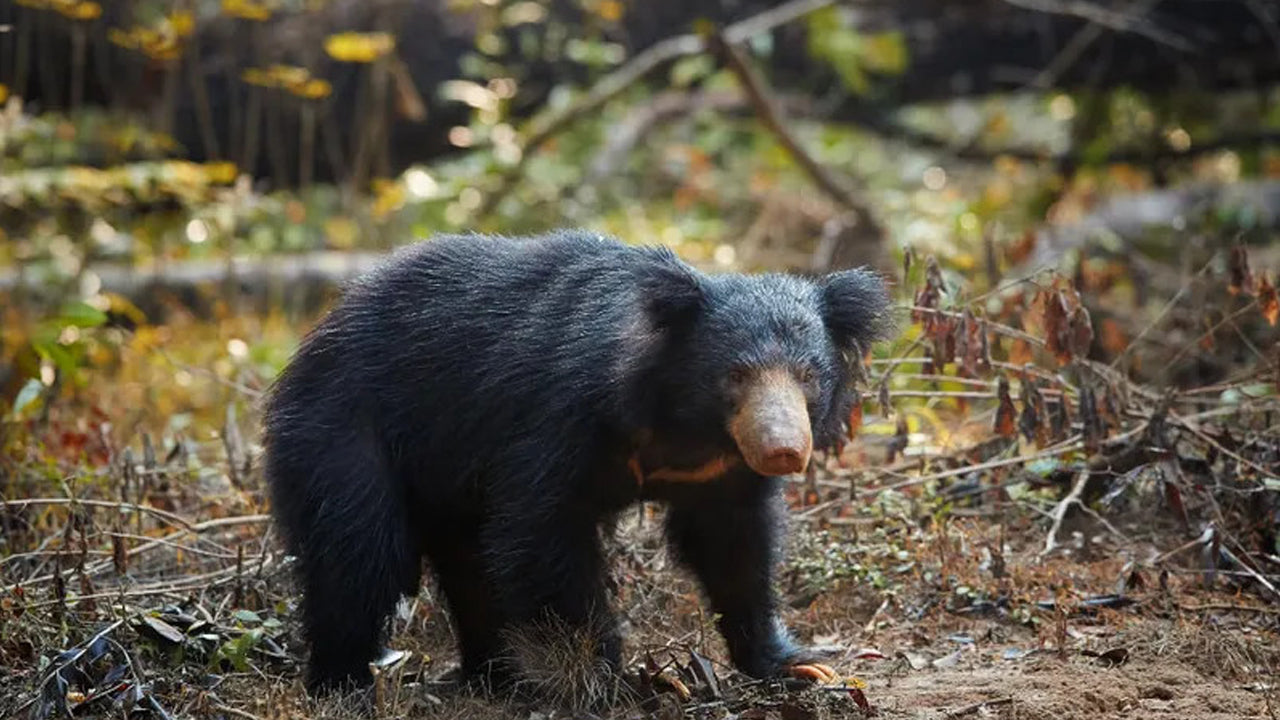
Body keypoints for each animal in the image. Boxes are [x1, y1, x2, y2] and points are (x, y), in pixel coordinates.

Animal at [264, 228, 896, 691]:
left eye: (808, 376)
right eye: (735, 375)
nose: (783, 450)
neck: (684, 427)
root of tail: (315, 337)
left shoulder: (721, 472)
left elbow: (735, 549)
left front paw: (797, 664)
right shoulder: (558, 418)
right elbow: (541, 534)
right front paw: (615, 674)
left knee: (467, 564)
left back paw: (498, 677)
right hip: (344, 434)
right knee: (359, 552)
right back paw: (344, 683)